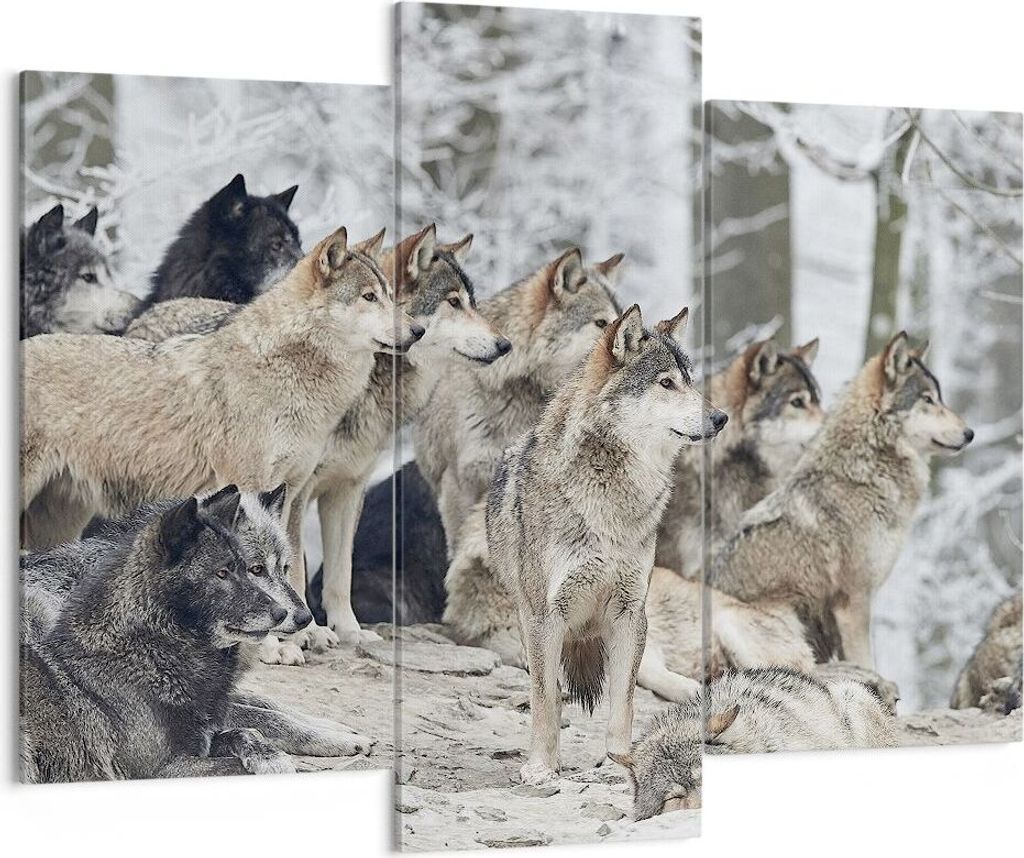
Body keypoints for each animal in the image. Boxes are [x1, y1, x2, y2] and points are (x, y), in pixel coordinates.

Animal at [21, 226, 420, 658]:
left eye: (390, 296)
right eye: (369, 297)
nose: (418, 331)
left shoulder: (292, 493)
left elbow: (292, 566)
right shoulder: (248, 486)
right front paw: (271, 648)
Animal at [22, 486, 374, 756]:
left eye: (285, 569)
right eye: (255, 569)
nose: (303, 618)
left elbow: (268, 703)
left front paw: (337, 726)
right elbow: (269, 717)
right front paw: (335, 738)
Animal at [487, 304, 728, 785]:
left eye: (690, 380)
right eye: (666, 383)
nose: (720, 419)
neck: (611, 498)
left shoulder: (630, 614)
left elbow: (624, 702)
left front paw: (618, 763)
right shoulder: (545, 616)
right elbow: (546, 700)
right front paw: (542, 768)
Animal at [710, 333, 973, 669]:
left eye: (939, 397)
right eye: (927, 399)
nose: (970, 433)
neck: (867, 472)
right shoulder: (854, 603)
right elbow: (867, 663)